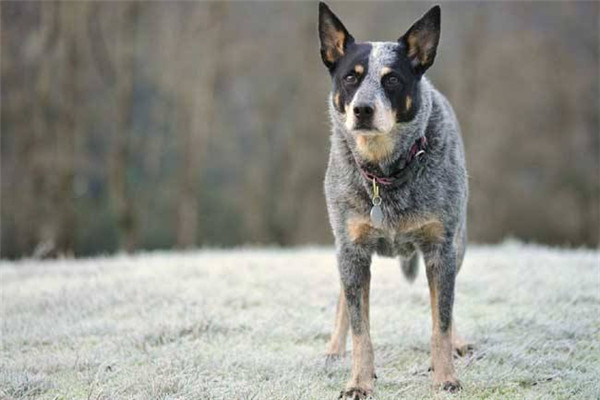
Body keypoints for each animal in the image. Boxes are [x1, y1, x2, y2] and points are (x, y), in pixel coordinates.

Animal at [318, 2, 474, 396]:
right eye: (351, 78)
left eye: (391, 79)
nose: (362, 109)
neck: (385, 171)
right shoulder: (352, 250)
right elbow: (361, 328)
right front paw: (359, 382)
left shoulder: (440, 248)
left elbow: (441, 321)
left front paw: (445, 376)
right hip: (343, 252)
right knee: (345, 301)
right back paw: (333, 350)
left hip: (458, 243)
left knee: (447, 303)